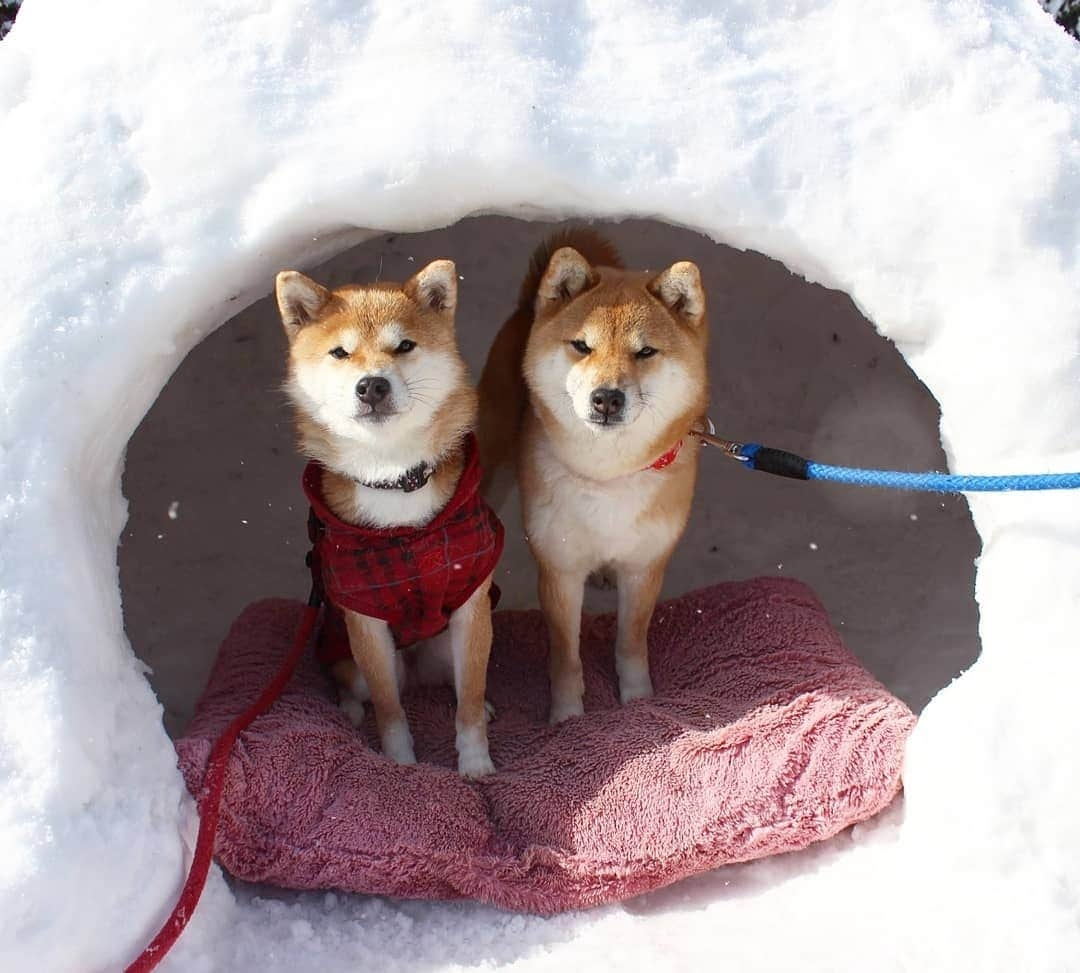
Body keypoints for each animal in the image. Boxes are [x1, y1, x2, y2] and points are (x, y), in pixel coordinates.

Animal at [274, 262, 501, 777]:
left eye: (404, 346)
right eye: (340, 352)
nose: (372, 385)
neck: (397, 480)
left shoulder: (472, 603)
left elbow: (470, 698)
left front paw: (475, 763)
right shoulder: (365, 619)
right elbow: (389, 708)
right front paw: (400, 764)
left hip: (447, 646)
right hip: (354, 657)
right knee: (361, 690)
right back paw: (348, 710)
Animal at [481, 230, 708, 721]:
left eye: (645, 351)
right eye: (582, 346)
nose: (607, 397)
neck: (608, 477)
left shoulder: (645, 567)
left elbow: (631, 644)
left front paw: (639, 703)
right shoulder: (559, 570)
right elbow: (566, 655)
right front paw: (567, 718)